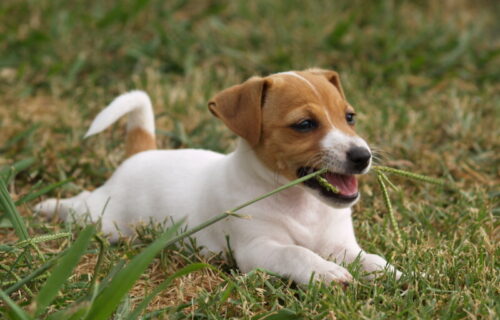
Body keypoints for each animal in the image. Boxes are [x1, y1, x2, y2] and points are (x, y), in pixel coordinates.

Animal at [36, 69, 402, 284]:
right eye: (305, 124)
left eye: (350, 117)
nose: (362, 156)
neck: (301, 204)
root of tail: (141, 154)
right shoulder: (256, 249)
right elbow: (295, 253)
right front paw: (326, 272)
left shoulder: (339, 244)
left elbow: (367, 257)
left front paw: (390, 271)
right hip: (105, 220)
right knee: (82, 205)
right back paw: (48, 206)